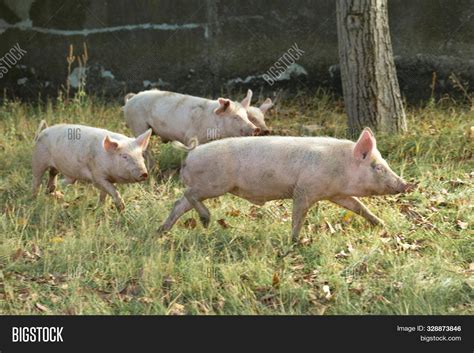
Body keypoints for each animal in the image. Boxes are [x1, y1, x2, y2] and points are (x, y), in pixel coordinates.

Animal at [159, 128, 412, 241]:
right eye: (378, 167)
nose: (407, 185)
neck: (340, 167)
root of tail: (191, 153)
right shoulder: (304, 189)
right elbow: (298, 215)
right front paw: (295, 241)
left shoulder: (336, 193)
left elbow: (359, 206)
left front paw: (381, 224)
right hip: (213, 184)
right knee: (188, 194)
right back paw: (205, 220)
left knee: (179, 203)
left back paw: (161, 231)